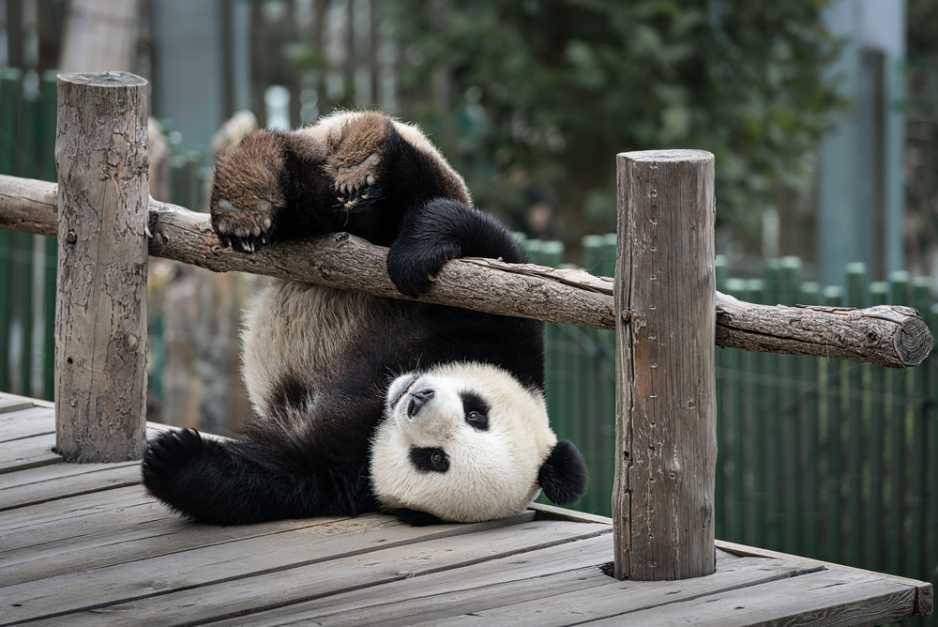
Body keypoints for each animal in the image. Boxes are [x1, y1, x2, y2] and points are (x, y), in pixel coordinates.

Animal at [142, 111, 587, 526]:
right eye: (476, 412)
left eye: (435, 459)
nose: (417, 398)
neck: (382, 397)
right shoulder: (507, 334)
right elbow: (485, 245)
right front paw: (414, 259)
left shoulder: (350, 474)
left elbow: (278, 477)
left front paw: (172, 459)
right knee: (385, 194)